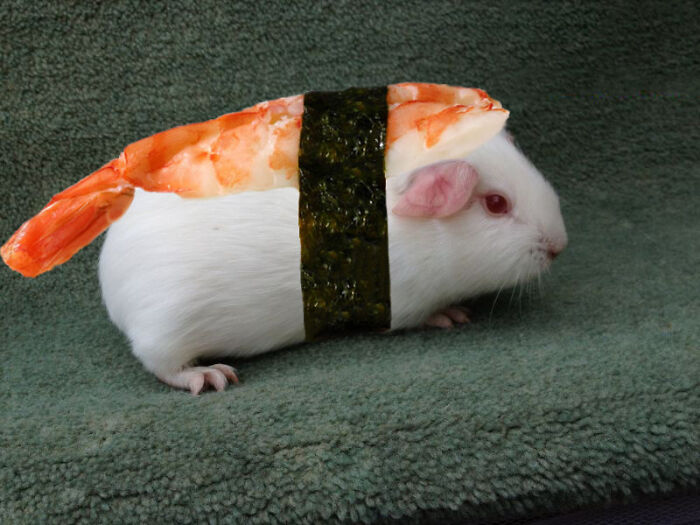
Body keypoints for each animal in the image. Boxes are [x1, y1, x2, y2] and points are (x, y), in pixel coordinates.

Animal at [99, 131, 567, 394]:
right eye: (495, 204)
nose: (559, 245)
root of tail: (110, 277)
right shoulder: (404, 305)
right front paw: (452, 316)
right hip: (168, 332)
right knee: (161, 365)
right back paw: (213, 378)